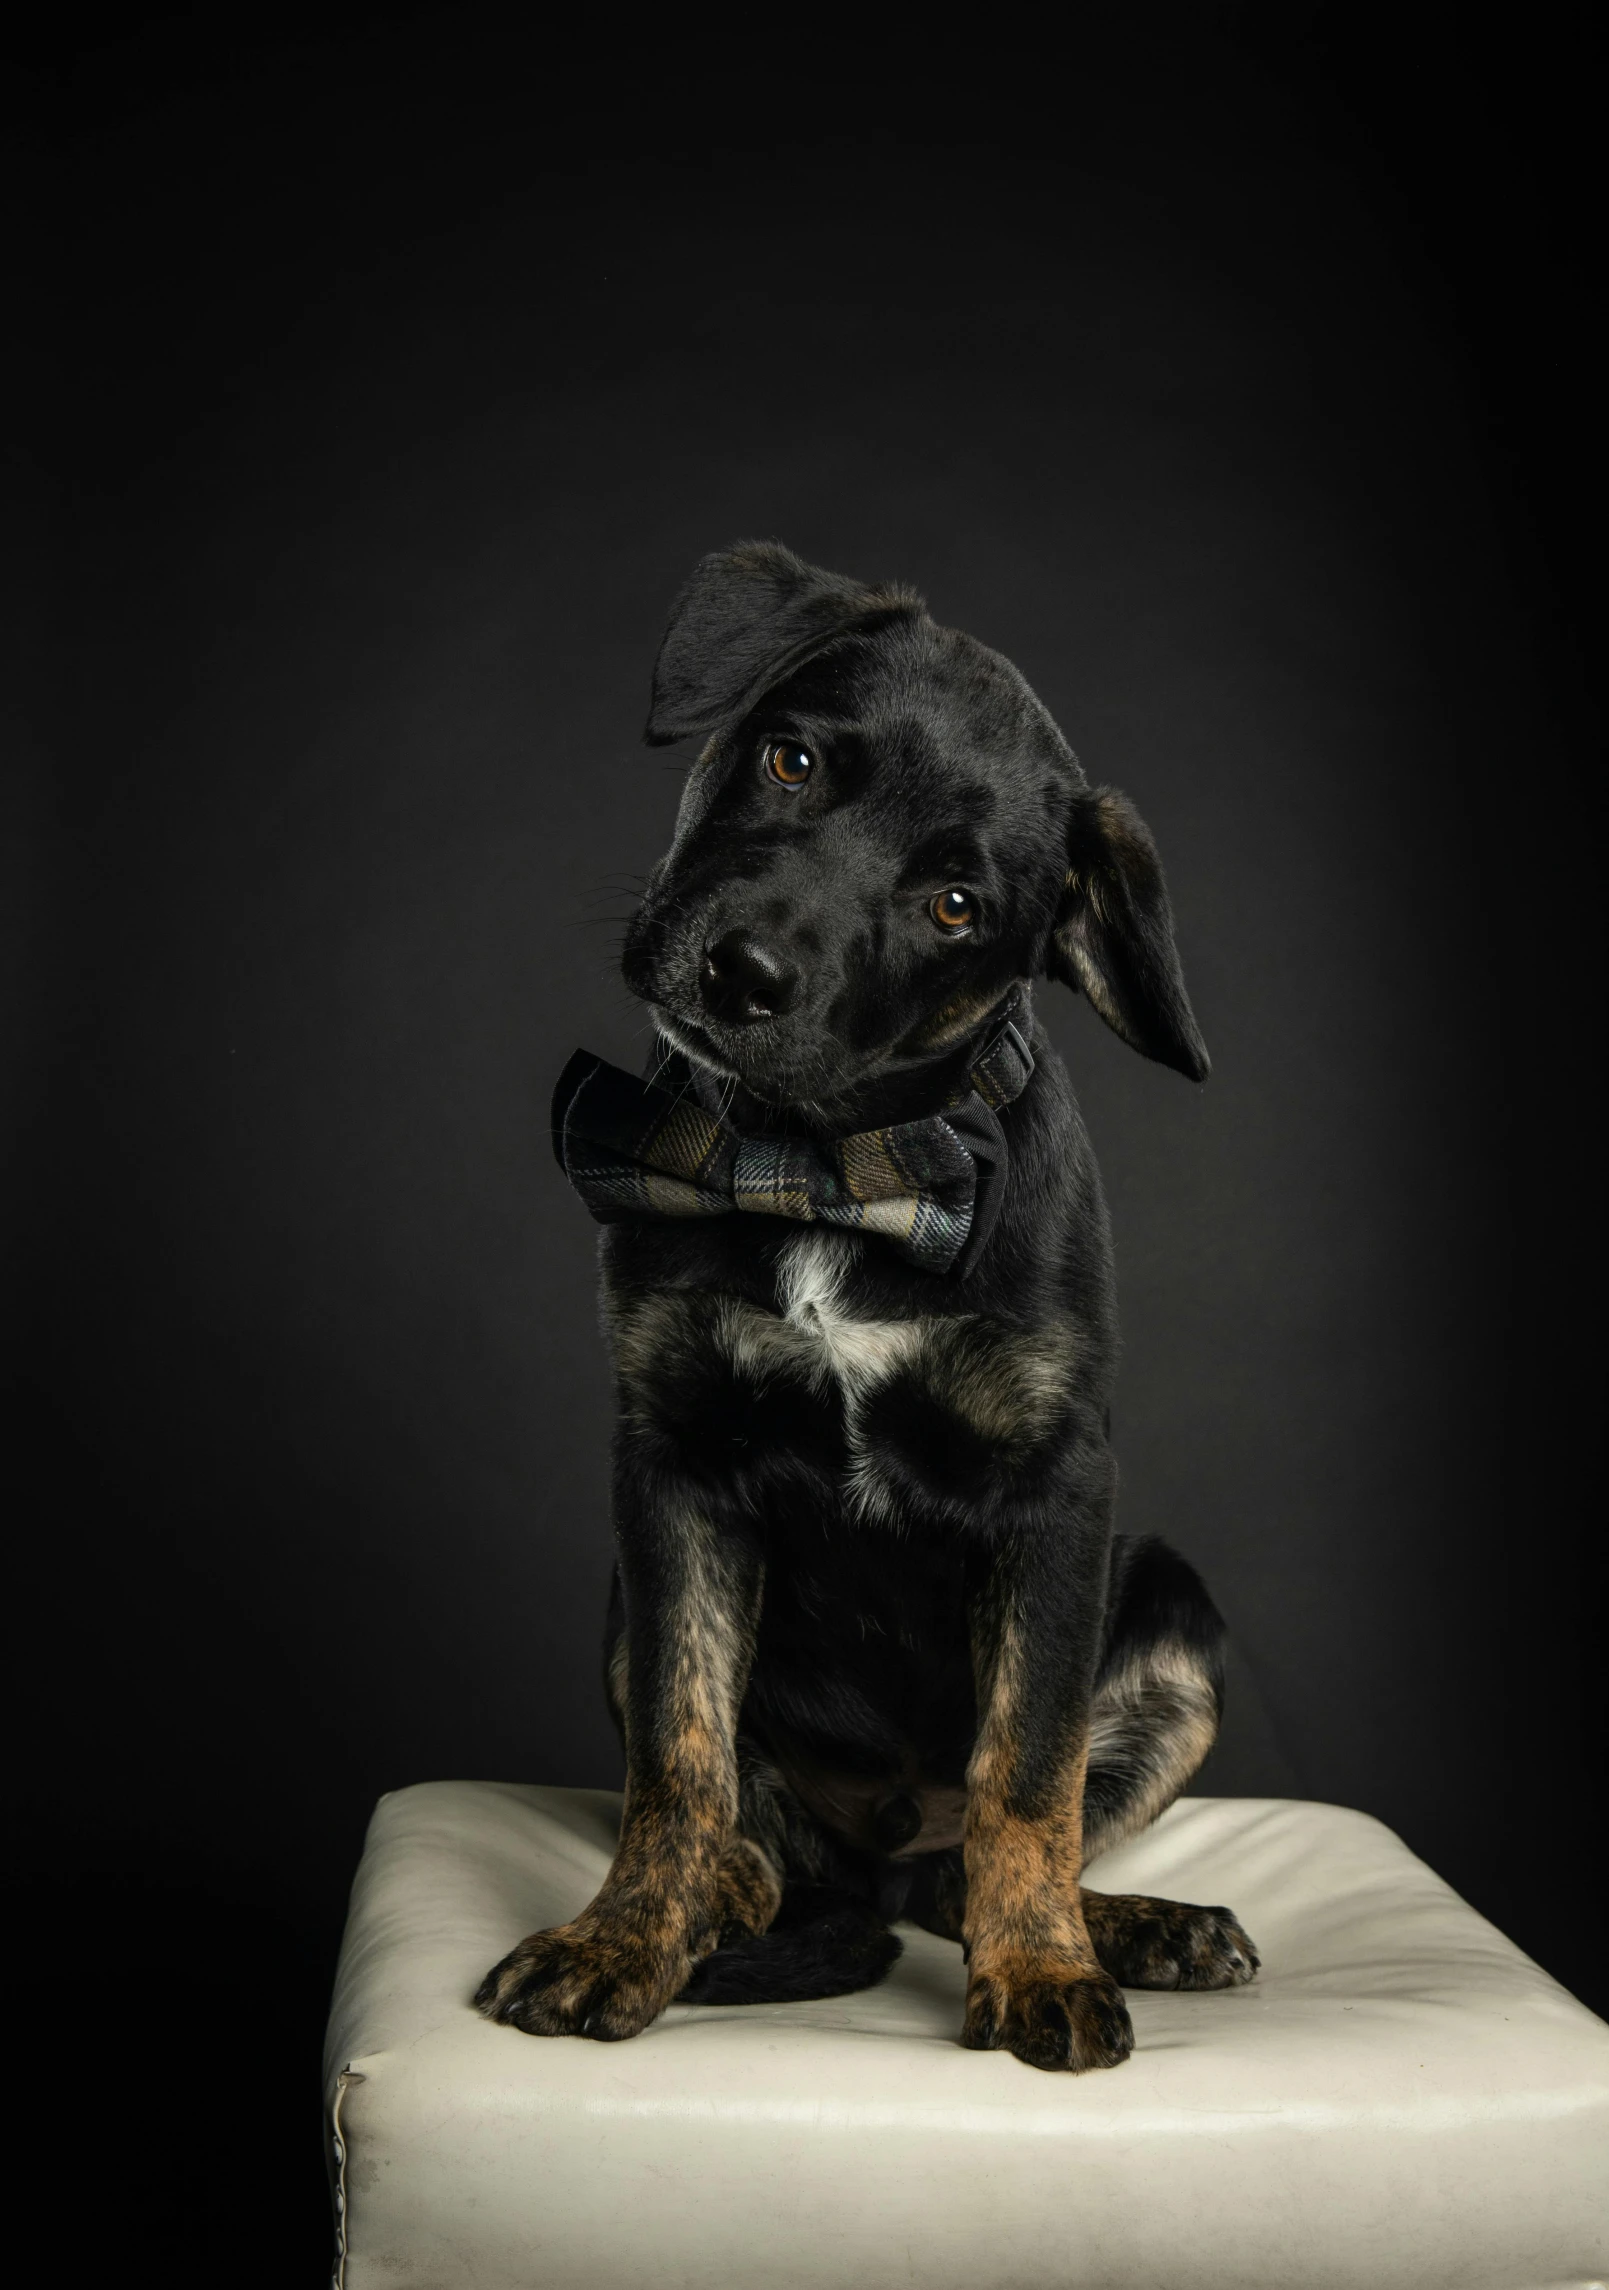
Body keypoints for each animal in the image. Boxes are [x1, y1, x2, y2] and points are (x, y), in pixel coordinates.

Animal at [478, 540, 1263, 2079]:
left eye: (956, 905)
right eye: (790, 759)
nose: (741, 973)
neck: (830, 1173)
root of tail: (877, 1865)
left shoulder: (1056, 1488)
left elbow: (1027, 1767)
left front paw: (1042, 1972)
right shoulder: (671, 1467)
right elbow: (678, 1749)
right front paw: (623, 1937)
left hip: (1173, 1609)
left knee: (973, 1864)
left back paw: (1127, 1926)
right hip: (627, 1594)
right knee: (772, 1834)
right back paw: (730, 1887)